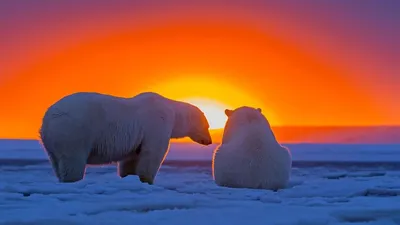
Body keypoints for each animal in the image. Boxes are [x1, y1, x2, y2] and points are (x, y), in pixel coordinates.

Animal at [39, 92, 212, 185]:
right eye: (207, 125)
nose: (209, 141)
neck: (173, 113)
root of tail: (47, 119)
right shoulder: (156, 124)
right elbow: (153, 153)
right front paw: (148, 180)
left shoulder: (137, 137)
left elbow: (131, 158)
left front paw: (129, 176)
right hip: (74, 131)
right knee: (73, 161)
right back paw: (73, 180)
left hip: (53, 143)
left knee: (57, 162)